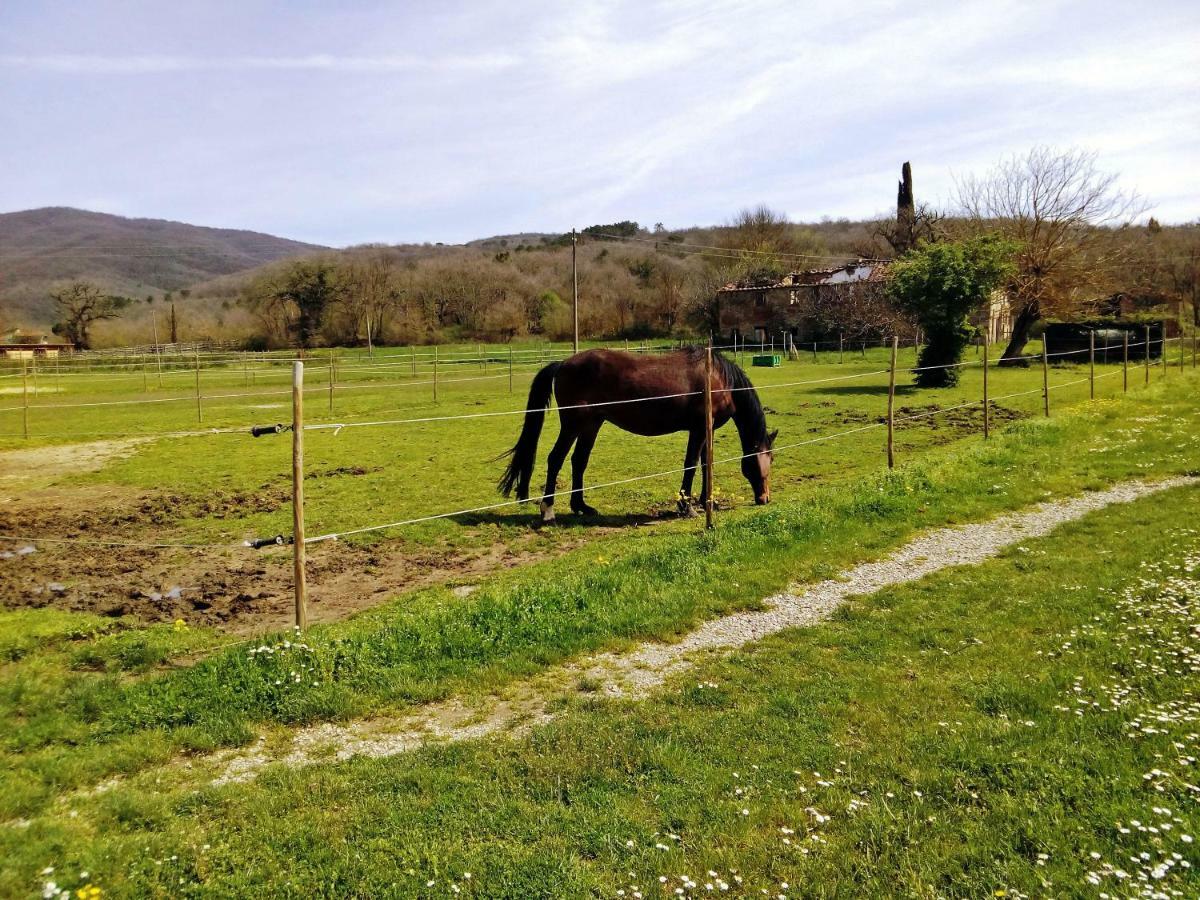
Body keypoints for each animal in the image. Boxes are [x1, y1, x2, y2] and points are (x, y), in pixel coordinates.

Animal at [496, 348, 777, 525]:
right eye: (761, 462)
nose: (765, 498)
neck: (718, 379)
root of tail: (563, 364)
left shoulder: (706, 431)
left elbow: (706, 465)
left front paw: (706, 501)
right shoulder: (698, 429)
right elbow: (691, 465)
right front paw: (686, 507)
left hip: (592, 424)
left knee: (579, 461)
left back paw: (581, 507)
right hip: (573, 424)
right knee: (556, 459)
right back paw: (548, 512)